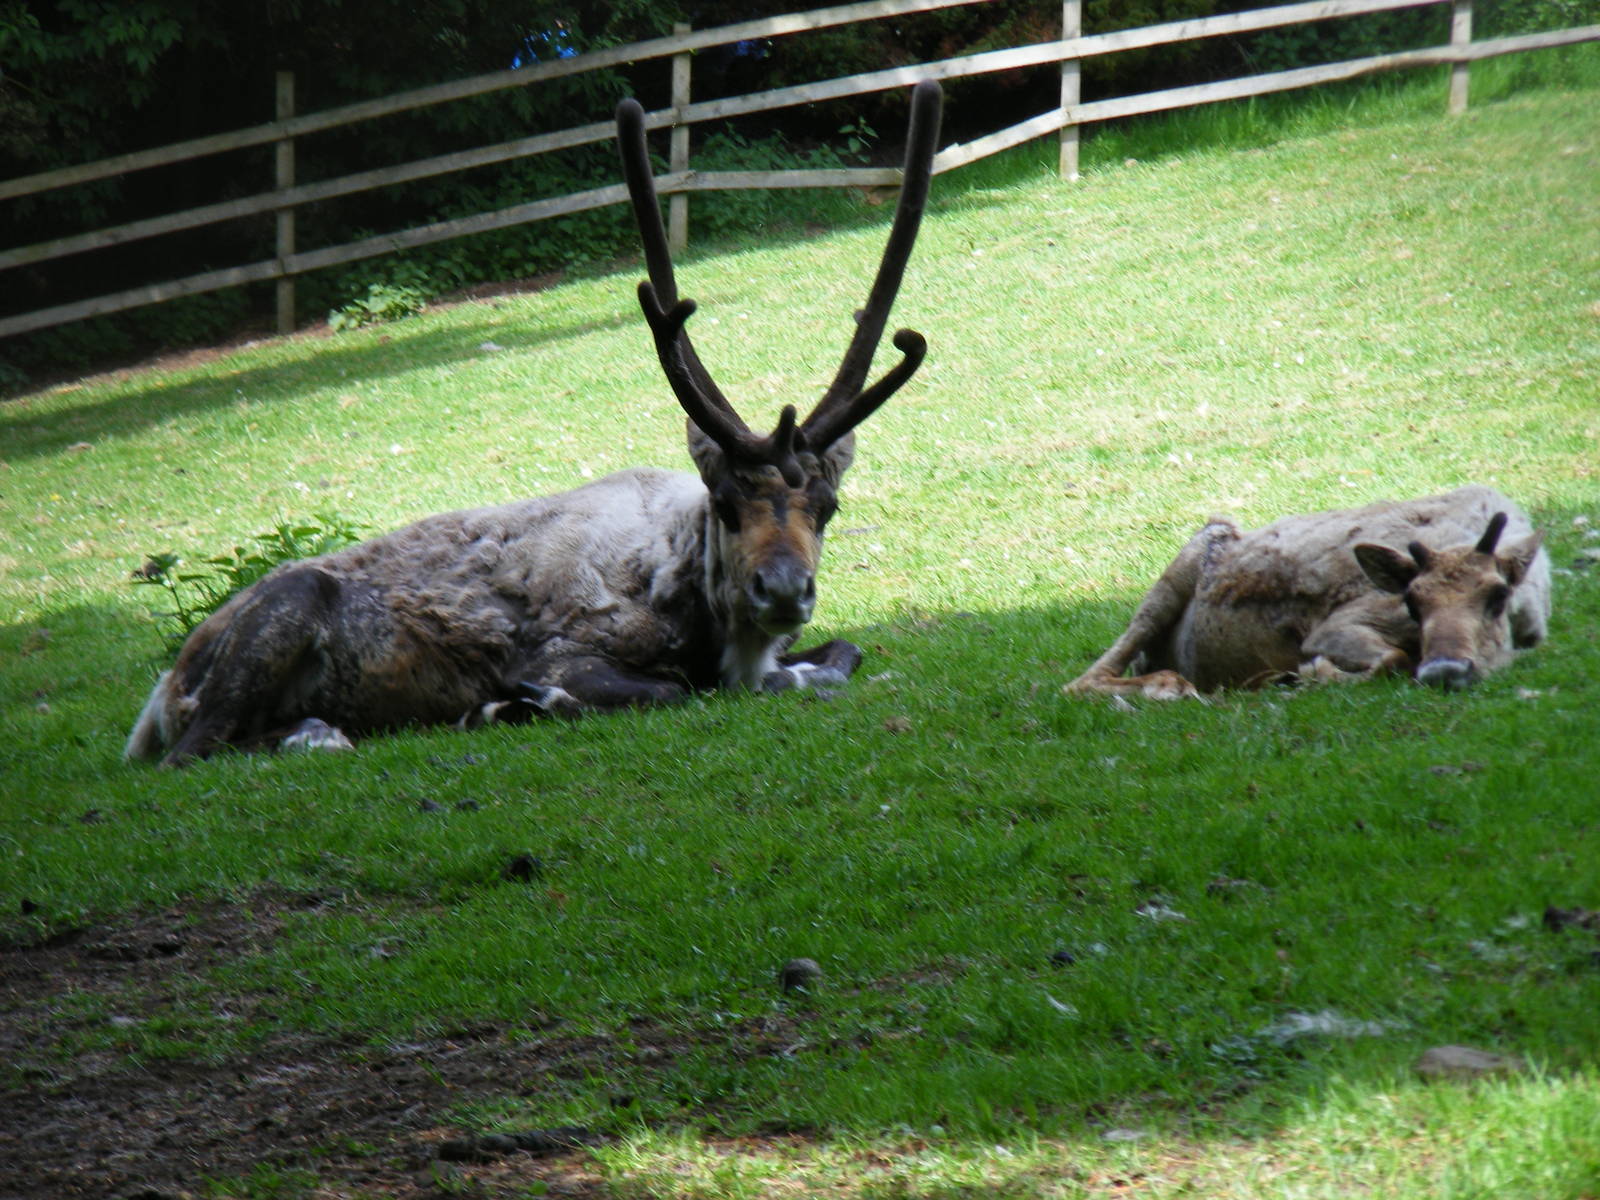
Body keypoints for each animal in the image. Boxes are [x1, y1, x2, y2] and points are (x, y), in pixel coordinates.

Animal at [125, 81, 945, 766]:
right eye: (728, 503)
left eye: (827, 507)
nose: (782, 591)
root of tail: (159, 697)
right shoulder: (560, 648)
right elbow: (670, 687)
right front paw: (527, 701)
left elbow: (843, 653)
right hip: (279, 617)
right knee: (194, 752)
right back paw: (330, 731)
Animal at [1065, 485, 1552, 699]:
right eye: (1411, 602)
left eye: (1498, 596)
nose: (1444, 670)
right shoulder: (1335, 625)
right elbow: (1392, 659)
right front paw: (1313, 672)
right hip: (1182, 567)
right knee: (1080, 681)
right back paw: (1169, 686)